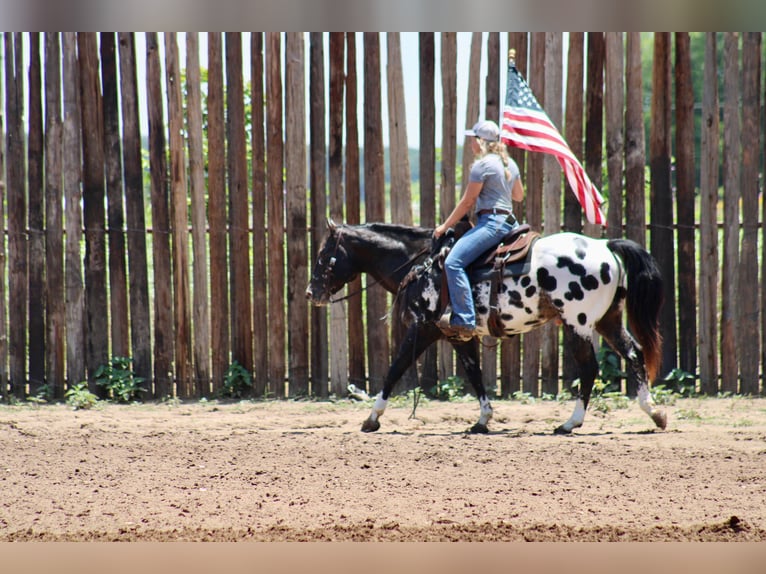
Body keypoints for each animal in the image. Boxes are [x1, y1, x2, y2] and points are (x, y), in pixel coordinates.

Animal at [306, 220, 664, 436]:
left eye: (324, 255)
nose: (311, 293)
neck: (422, 265)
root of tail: (604, 246)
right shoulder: (457, 335)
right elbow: (474, 374)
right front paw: (482, 420)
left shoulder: (423, 329)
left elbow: (395, 370)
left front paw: (372, 418)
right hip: (608, 321)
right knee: (635, 355)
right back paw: (654, 412)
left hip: (578, 323)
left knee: (589, 368)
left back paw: (569, 423)